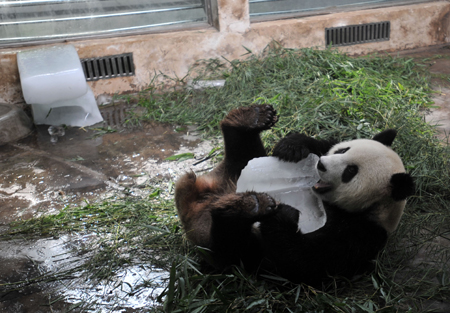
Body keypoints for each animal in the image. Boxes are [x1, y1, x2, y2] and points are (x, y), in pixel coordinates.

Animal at [174, 103, 414, 284]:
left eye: (350, 172)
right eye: (343, 150)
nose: (321, 166)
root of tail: (195, 202)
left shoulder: (362, 236)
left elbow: (305, 261)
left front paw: (285, 214)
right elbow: (319, 142)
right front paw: (292, 146)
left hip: (234, 254)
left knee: (228, 246)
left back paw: (248, 206)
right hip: (240, 167)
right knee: (243, 152)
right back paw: (251, 118)